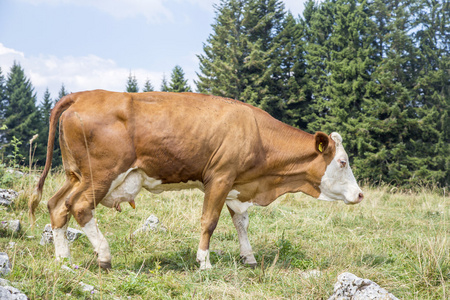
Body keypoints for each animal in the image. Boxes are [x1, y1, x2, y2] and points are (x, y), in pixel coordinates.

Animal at [28, 89, 364, 270]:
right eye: (343, 161)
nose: (360, 194)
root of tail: (82, 95)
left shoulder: (237, 183)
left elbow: (241, 222)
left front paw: (249, 257)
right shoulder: (220, 177)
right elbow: (209, 221)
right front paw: (204, 261)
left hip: (75, 175)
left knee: (57, 206)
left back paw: (63, 260)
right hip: (101, 175)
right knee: (79, 207)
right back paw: (105, 256)